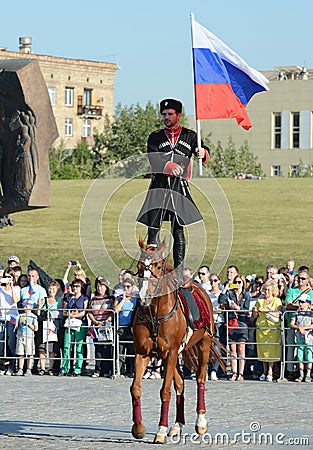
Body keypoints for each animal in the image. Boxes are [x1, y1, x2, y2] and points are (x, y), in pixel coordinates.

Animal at [129, 237, 224, 444]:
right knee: (180, 384)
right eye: (140, 266)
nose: (144, 296)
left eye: (158, 266)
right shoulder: (143, 353)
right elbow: (135, 388)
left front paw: (161, 431)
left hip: (203, 344)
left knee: (200, 378)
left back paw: (200, 422)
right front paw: (139, 428)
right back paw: (177, 425)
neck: (156, 314)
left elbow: (165, 391)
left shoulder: (171, 353)